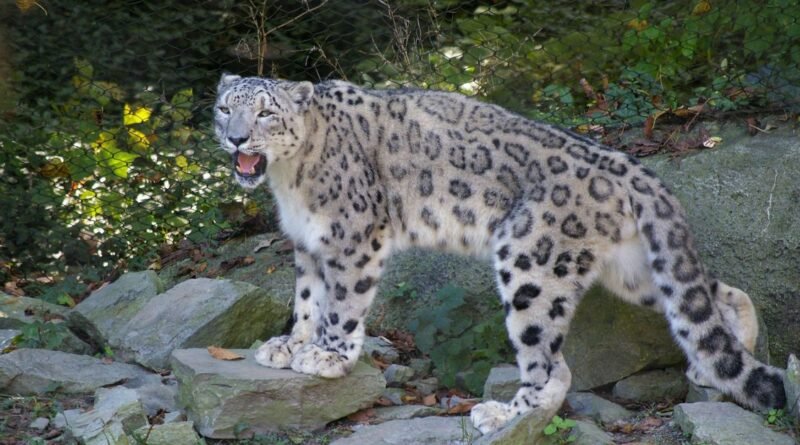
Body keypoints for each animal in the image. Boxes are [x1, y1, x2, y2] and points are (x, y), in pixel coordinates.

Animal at [212, 74, 786, 434]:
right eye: (224, 108)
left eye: (265, 112)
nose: (236, 138)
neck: (288, 181)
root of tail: (630, 167)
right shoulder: (309, 244)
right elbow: (308, 299)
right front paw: (289, 344)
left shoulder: (353, 235)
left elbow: (342, 304)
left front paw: (328, 357)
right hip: (633, 269)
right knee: (709, 295)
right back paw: (716, 365)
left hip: (531, 263)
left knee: (548, 365)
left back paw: (502, 414)